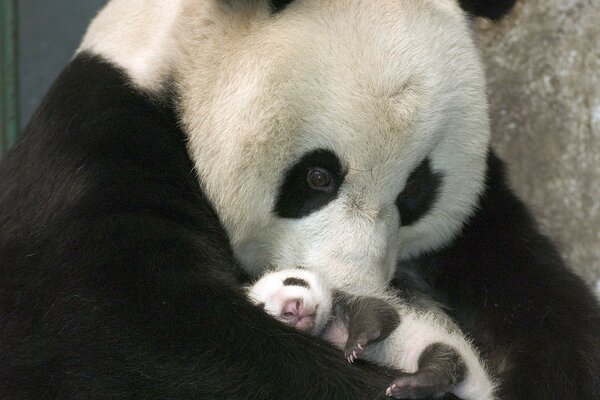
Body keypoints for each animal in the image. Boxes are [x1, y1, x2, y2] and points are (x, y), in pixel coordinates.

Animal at [248, 268, 496, 400]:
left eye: (293, 281)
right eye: (261, 306)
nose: (292, 306)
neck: (329, 329)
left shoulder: (345, 301)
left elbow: (379, 313)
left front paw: (355, 344)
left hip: (450, 349)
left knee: (442, 361)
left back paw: (411, 383)